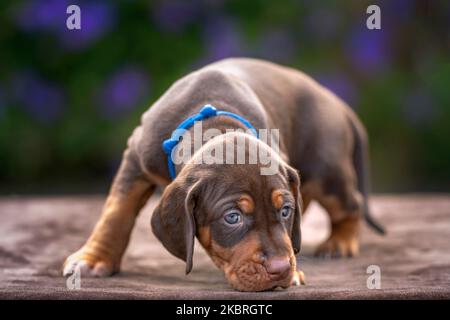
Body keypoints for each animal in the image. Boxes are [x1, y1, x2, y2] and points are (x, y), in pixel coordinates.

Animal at [63, 58, 384, 292]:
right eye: (232, 217)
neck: (214, 123)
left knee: (350, 204)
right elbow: (116, 212)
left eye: (285, 211)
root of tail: (333, 99)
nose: (281, 268)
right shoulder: (136, 158)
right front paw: (93, 259)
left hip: (327, 173)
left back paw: (338, 242)